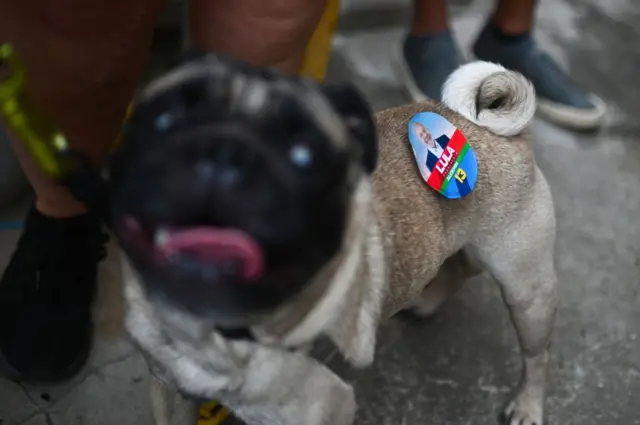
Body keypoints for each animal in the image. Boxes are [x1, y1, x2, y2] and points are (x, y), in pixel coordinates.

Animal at [110, 54, 560, 424]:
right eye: (162, 123)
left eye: (304, 156)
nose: (225, 150)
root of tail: (484, 126)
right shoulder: (168, 389)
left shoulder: (321, 407)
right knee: (460, 265)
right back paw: (426, 301)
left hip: (526, 291)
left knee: (536, 355)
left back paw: (527, 406)